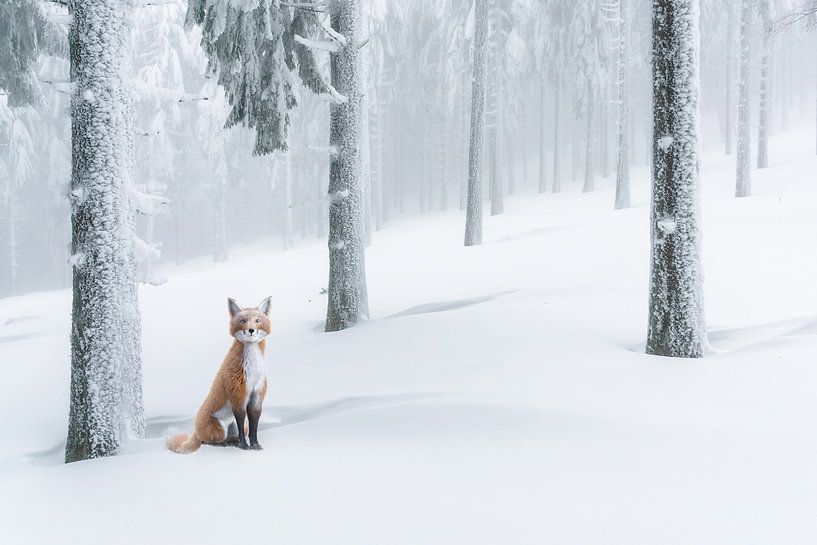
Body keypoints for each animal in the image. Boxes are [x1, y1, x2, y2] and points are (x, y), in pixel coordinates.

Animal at [167, 297, 272, 454]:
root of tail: (195, 431)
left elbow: (253, 429)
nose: (251, 330)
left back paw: (232, 442)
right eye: (243, 321)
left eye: (258, 320)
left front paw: (255, 445)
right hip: (219, 430)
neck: (253, 371)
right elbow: (243, 428)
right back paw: (225, 444)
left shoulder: (256, 397)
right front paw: (245, 446)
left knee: (234, 435)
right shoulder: (238, 397)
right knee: (208, 442)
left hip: (231, 428)